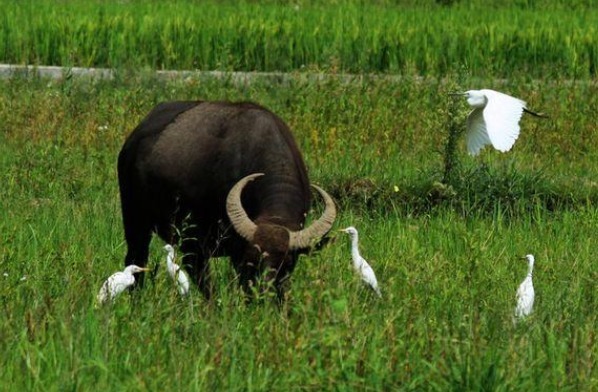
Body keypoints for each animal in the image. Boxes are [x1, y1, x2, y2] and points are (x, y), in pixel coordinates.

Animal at [117, 99, 338, 298]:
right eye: (252, 258)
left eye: (288, 262)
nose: (264, 292)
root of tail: (132, 141)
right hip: (138, 222)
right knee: (140, 262)